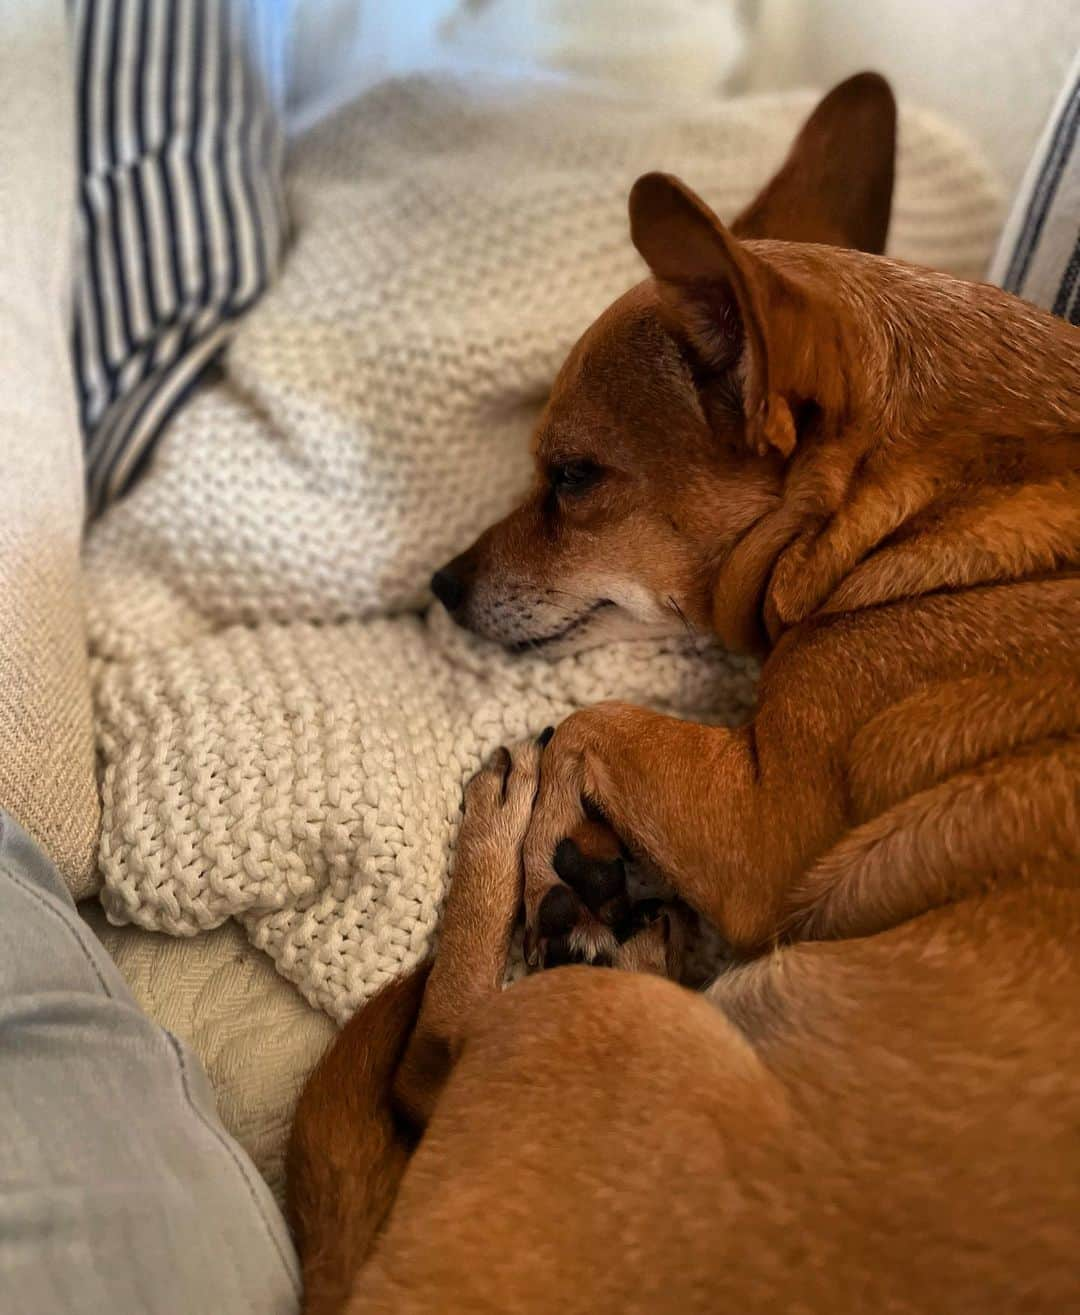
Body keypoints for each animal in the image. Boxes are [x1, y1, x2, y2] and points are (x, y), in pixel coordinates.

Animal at [286, 76, 1078, 1309]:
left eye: (571, 479)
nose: (443, 585)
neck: (949, 502)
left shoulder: (762, 828)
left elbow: (594, 722)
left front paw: (556, 834)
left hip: (587, 1030)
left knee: (426, 1063)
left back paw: (514, 845)